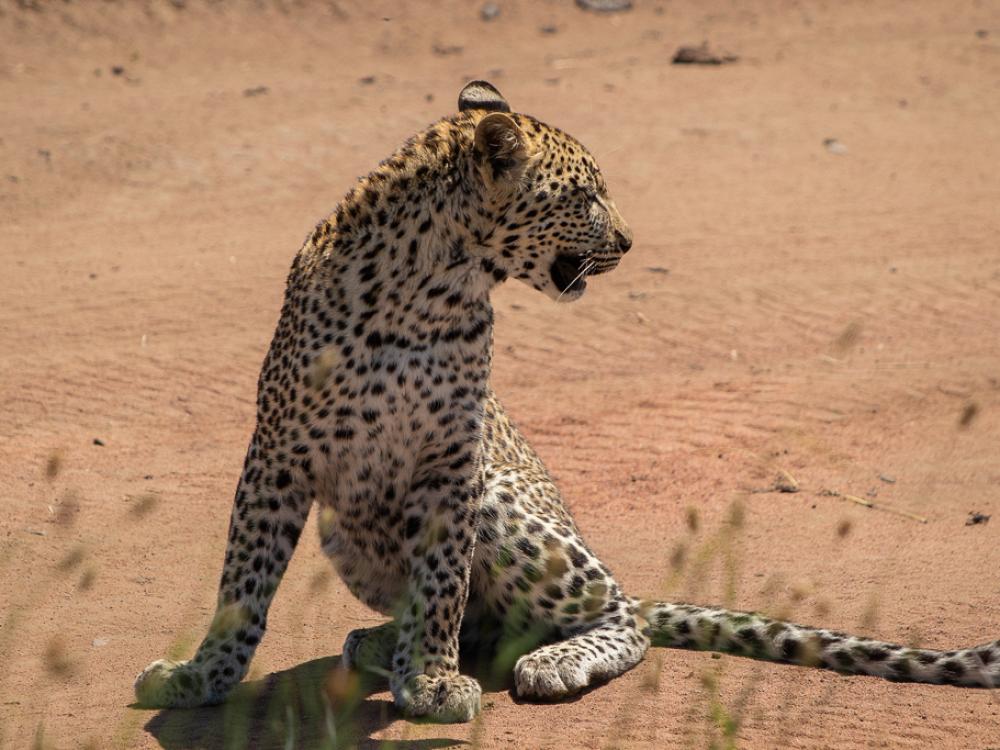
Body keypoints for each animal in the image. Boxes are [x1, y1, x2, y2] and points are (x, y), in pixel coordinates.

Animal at [135, 79, 1000, 724]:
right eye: (584, 196)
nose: (628, 242)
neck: (428, 283)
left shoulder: (451, 460)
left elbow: (441, 583)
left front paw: (431, 684)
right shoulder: (278, 452)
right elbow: (241, 586)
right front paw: (200, 677)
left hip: (505, 503)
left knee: (622, 618)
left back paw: (543, 661)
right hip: (343, 525)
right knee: (491, 619)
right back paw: (383, 644)